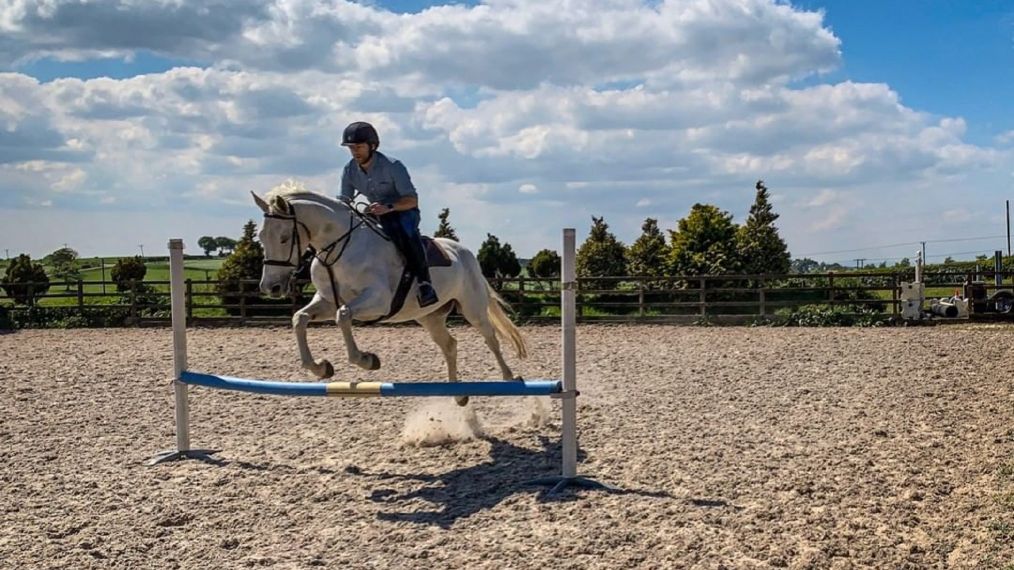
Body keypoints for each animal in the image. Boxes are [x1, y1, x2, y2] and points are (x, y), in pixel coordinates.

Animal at [250, 181, 527, 403]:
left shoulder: (378, 301)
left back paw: (510, 378)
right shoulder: (327, 301)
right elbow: (300, 318)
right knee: (449, 345)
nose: (271, 287)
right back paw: (458, 394)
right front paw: (321, 367)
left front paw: (367, 360)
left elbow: (343, 316)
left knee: (491, 339)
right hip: (430, 316)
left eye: (284, 238)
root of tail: (465, 252)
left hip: (472, 307)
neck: (339, 247)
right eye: (261, 237)